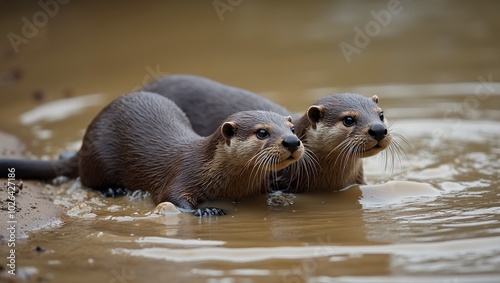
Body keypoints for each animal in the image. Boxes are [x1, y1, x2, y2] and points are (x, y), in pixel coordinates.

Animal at [0, 92, 304, 216]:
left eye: (291, 127)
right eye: (262, 132)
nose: (292, 141)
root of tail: (84, 142)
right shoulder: (184, 174)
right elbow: (169, 197)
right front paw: (207, 210)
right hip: (98, 155)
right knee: (87, 179)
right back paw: (111, 189)